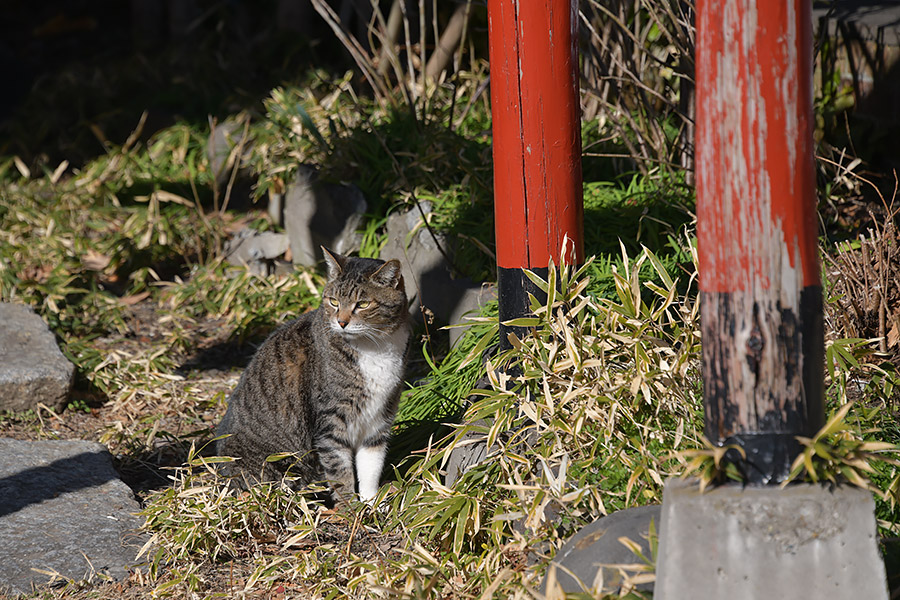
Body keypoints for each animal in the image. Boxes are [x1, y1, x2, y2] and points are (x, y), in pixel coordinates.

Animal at [216, 245, 410, 502]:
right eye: (334, 301)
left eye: (363, 304)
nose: (341, 322)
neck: (374, 347)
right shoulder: (330, 420)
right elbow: (340, 470)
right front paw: (350, 506)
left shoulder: (380, 417)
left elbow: (371, 466)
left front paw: (371, 503)